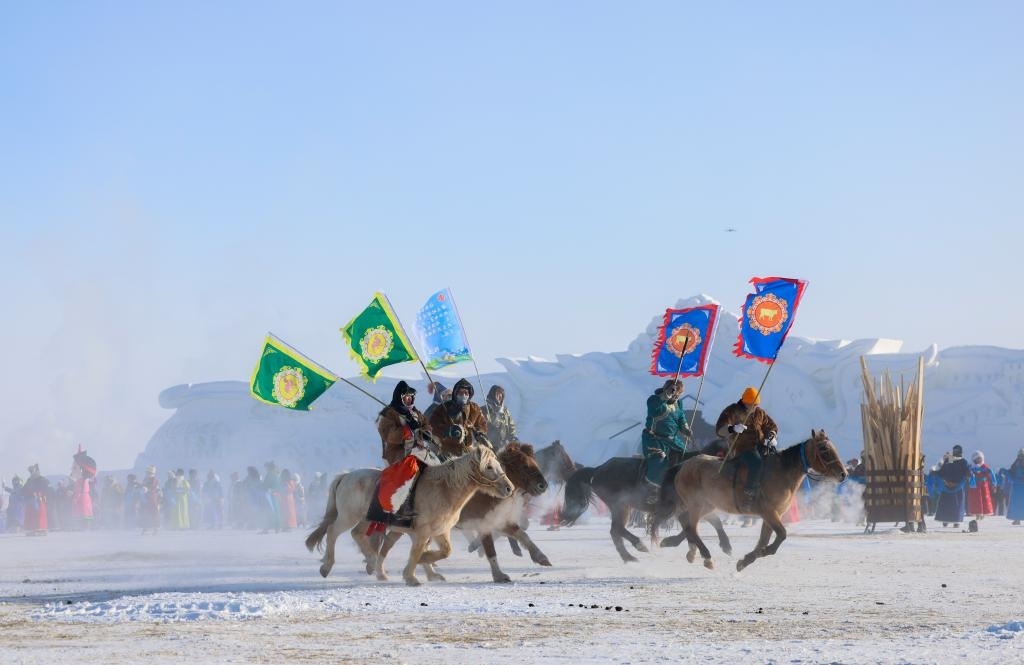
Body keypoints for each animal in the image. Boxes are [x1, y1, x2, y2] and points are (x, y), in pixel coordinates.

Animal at [305, 444, 514, 586]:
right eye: (488, 467)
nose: (509, 488)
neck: (444, 489)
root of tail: (346, 476)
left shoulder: (439, 531)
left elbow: (443, 551)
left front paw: (429, 572)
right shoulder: (422, 531)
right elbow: (417, 552)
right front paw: (411, 577)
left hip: (366, 518)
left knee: (357, 534)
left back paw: (374, 565)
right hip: (348, 516)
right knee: (332, 532)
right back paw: (327, 566)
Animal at [378, 442, 551, 583]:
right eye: (524, 465)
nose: (543, 485)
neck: (482, 494)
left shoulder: (498, 522)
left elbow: (523, 535)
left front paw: (541, 558)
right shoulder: (484, 525)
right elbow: (491, 551)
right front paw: (499, 575)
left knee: (390, 543)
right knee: (389, 545)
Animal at [559, 448, 732, 563]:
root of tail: (598, 470)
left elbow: (713, 521)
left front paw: (725, 546)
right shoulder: (688, 508)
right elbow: (694, 526)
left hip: (622, 507)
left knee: (615, 531)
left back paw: (628, 557)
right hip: (620, 505)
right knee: (617, 529)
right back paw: (639, 545)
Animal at [651, 429, 847, 572]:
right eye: (824, 449)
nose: (843, 474)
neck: (782, 472)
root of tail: (683, 465)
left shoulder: (771, 515)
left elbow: (764, 540)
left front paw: (745, 560)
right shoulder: (769, 512)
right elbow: (780, 536)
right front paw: (761, 553)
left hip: (707, 504)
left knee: (687, 523)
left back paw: (681, 547)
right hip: (697, 504)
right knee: (691, 527)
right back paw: (707, 556)